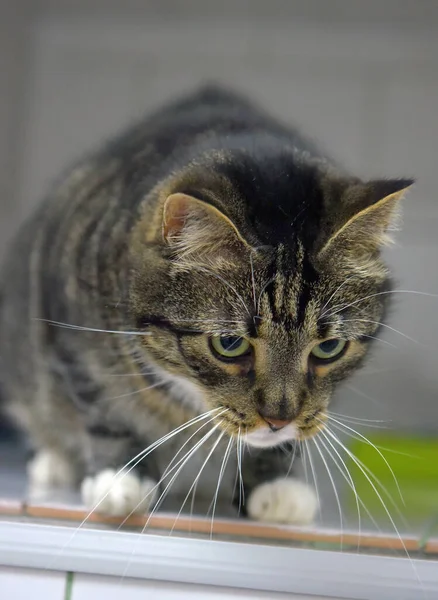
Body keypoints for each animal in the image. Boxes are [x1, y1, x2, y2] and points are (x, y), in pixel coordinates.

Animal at [0, 86, 412, 524]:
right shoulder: (67, 328)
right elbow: (102, 406)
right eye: (229, 345)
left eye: (329, 348)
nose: (278, 420)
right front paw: (121, 478)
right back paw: (54, 462)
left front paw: (276, 486)